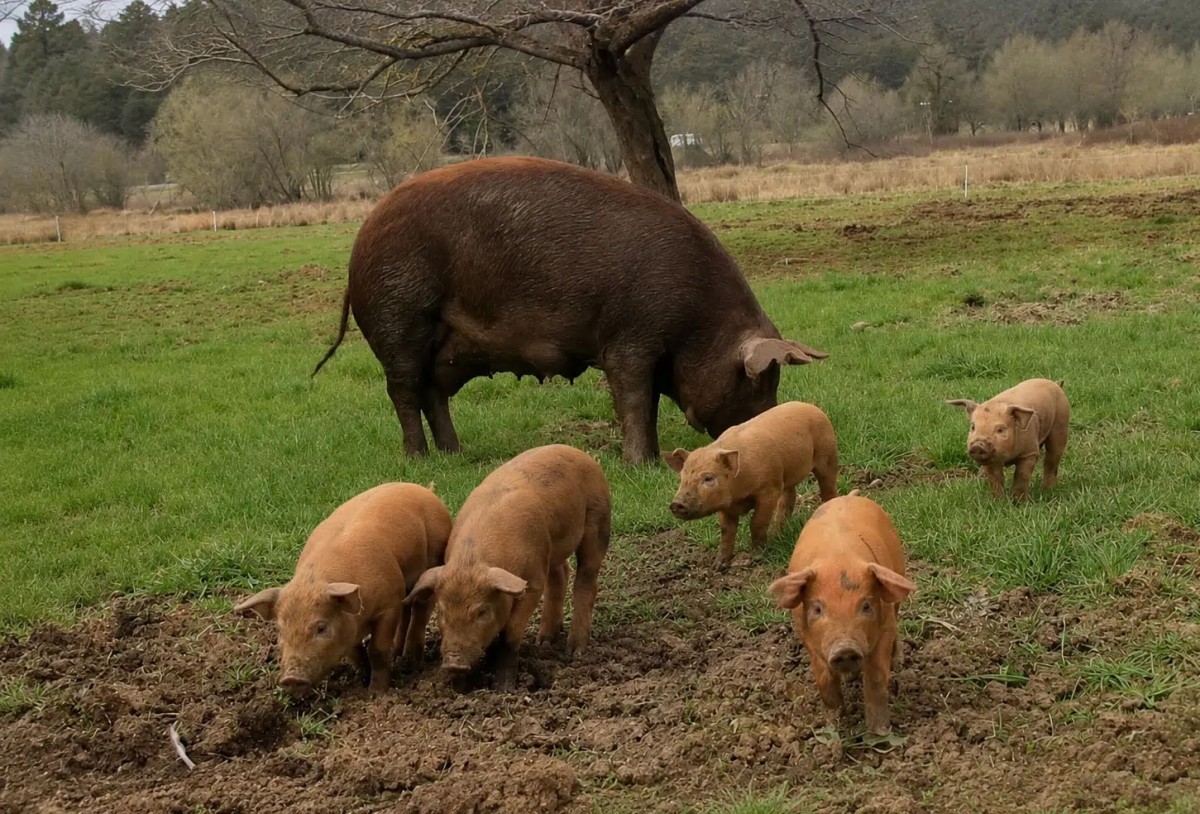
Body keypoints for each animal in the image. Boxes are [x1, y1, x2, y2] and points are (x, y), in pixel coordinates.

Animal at [233, 482, 452, 697]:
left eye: (321, 628)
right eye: (280, 630)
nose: (291, 678)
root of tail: (424, 489)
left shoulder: (389, 605)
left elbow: (377, 649)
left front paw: (375, 693)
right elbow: (355, 653)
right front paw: (364, 679)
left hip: (432, 561)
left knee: (420, 611)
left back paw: (412, 662)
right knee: (407, 610)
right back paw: (398, 654)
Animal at [310, 156, 828, 465]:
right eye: (759, 381)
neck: (699, 324)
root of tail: (359, 243)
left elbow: (647, 404)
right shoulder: (629, 338)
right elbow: (634, 399)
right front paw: (642, 464)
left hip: (447, 346)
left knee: (433, 391)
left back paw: (456, 454)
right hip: (398, 317)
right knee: (402, 390)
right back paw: (418, 460)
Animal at [403, 444, 611, 691]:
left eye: (482, 611)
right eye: (442, 612)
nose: (454, 663)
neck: (472, 562)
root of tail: (582, 454)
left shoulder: (532, 582)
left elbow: (510, 631)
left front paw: (504, 688)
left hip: (598, 522)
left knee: (587, 580)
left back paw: (575, 650)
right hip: (552, 548)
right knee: (561, 575)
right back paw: (544, 642)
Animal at [663, 401, 839, 571]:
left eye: (708, 478)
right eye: (682, 477)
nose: (676, 504)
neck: (737, 495)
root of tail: (812, 407)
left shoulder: (768, 490)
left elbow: (757, 522)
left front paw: (755, 557)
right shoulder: (725, 506)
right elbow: (726, 531)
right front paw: (718, 566)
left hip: (827, 455)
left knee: (828, 488)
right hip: (787, 474)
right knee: (789, 498)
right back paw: (776, 534)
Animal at [767, 492, 916, 735]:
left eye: (866, 606)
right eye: (817, 609)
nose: (845, 649)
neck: (838, 561)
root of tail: (849, 495)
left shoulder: (885, 626)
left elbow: (876, 676)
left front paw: (879, 733)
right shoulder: (806, 635)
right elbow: (824, 677)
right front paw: (834, 726)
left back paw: (897, 662)